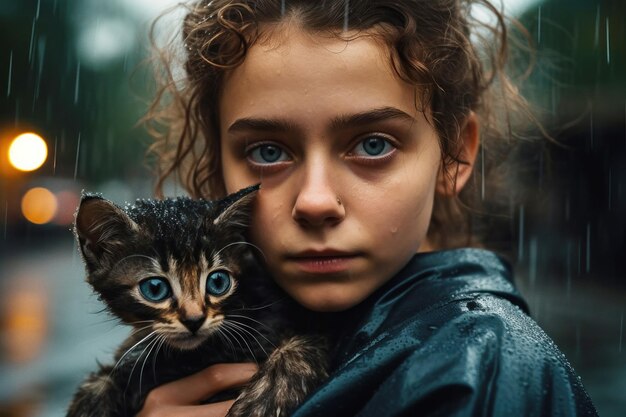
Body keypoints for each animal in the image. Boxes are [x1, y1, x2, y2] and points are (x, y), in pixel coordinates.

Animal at [68, 185, 330, 416]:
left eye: (218, 282)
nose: (194, 320)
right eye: (155, 288)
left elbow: (300, 345)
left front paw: (263, 402)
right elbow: (105, 378)